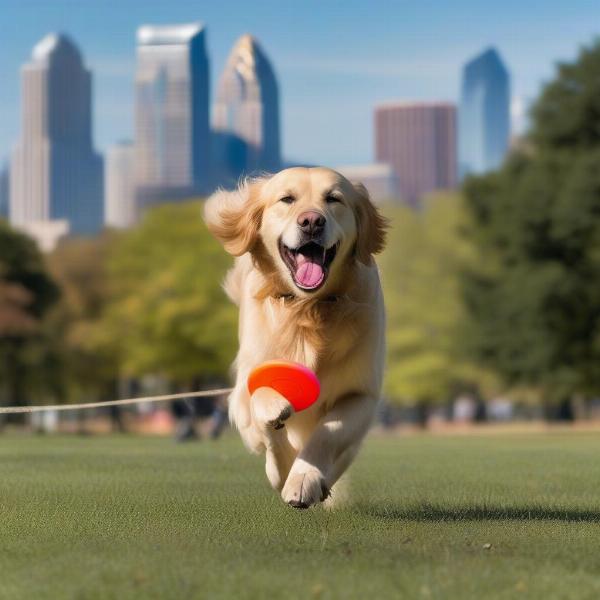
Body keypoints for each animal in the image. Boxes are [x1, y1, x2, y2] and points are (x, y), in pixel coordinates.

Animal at [204, 168, 386, 506]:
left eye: (333, 198)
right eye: (287, 199)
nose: (311, 221)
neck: (307, 308)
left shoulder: (361, 394)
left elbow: (328, 433)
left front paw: (303, 479)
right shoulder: (242, 393)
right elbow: (265, 414)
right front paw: (283, 467)